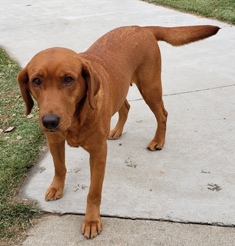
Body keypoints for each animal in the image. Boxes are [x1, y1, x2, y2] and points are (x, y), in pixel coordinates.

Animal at [17, 25, 219, 238]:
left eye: (68, 79)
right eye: (36, 81)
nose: (49, 121)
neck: (76, 119)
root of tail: (142, 27)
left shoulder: (98, 153)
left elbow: (93, 192)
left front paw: (91, 220)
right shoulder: (54, 141)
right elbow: (59, 167)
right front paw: (57, 187)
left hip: (150, 87)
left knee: (162, 114)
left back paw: (158, 140)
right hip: (123, 88)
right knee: (126, 107)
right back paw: (116, 130)